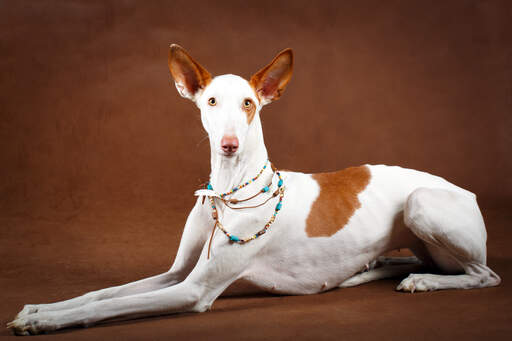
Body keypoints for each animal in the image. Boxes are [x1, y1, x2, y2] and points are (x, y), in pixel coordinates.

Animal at [7, 43, 500, 334]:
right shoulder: (175, 273)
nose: (229, 144)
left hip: (421, 204)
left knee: (482, 275)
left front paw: (45, 322)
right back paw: (373, 270)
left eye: (248, 103)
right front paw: (40, 308)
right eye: (209, 101)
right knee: (407, 261)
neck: (228, 193)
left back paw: (423, 281)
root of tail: (466, 191)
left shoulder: (193, 291)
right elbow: (102, 294)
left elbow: (105, 308)